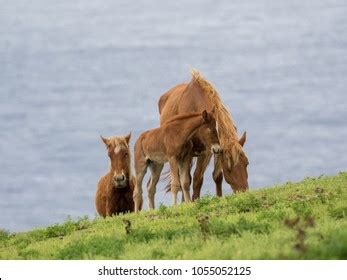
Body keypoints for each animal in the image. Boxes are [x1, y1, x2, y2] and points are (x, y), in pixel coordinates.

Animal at [159, 69, 249, 199]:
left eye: (247, 163)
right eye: (228, 168)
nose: (244, 192)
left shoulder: (212, 150)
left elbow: (216, 176)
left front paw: (219, 198)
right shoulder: (190, 152)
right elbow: (192, 179)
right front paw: (193, 201)